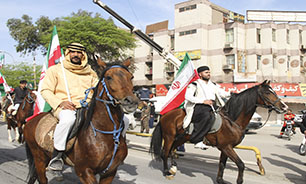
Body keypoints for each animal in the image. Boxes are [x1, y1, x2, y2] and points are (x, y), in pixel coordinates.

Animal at [149, 80, 288, 184]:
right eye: (267, 92)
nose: (284, 107)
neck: (232, 120)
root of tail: (165, 115)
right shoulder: (226, 147)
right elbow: (240, 164)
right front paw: (239, 181)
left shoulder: (225, 147)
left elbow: (222, 164)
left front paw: (220, 180)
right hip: (169, 137)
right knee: (165, 153)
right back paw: (167, 172)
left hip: (181, 138)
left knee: (172, 150)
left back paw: (173, 168)